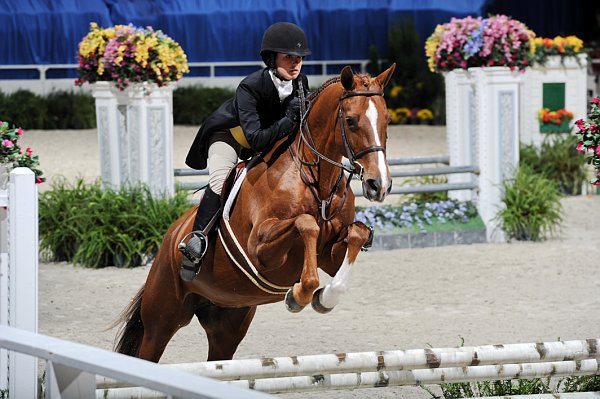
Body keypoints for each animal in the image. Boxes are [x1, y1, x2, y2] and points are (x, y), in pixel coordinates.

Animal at [116, 65, 398, 362]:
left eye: (387, 119)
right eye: (352, 121)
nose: (379, 185)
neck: (318, 184)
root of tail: (171, 236)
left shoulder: (330, 255)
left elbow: (357, 233)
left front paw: (324, 298)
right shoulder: (259, 249)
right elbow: (306, 223)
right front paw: (298, 295)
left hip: (228, 322)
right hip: (162, 317)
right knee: (149, 347)